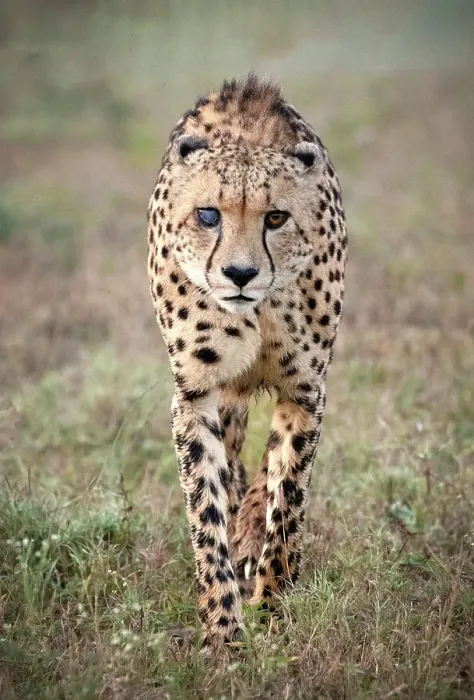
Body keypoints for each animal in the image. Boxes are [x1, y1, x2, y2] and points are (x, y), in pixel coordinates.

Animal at [147, 74, 347, 648]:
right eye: (208, 214)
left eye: (276, 216)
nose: (239, 274)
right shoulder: (195, 394)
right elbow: (206, 507)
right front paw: (223, 630)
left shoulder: (306, 391)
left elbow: (289, 496)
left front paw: (272, 602)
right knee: (235, 458)